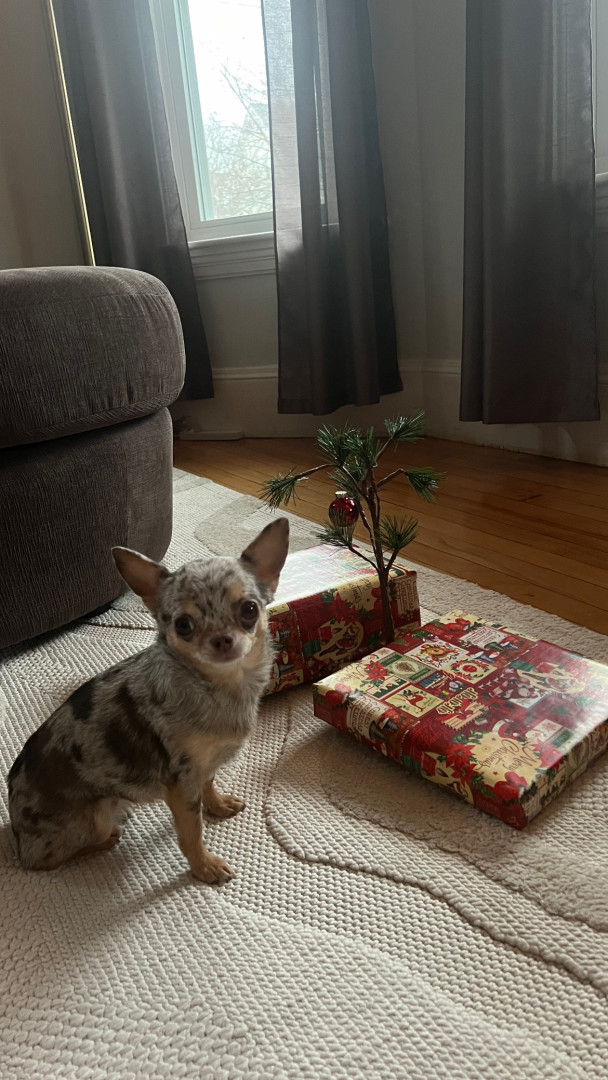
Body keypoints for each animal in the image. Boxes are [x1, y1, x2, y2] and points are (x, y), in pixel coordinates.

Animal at [7, 518, 289, 884]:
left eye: (249, 609)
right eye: (183, 625)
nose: (222, 640)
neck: (220, 687)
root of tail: (15, 833)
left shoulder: (203, 767)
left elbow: (209, 784)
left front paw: (217, 805)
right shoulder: (181, 783)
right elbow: (192, 832)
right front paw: (204, 867)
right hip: (92, 818)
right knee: (46, 860)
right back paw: (107, 839)